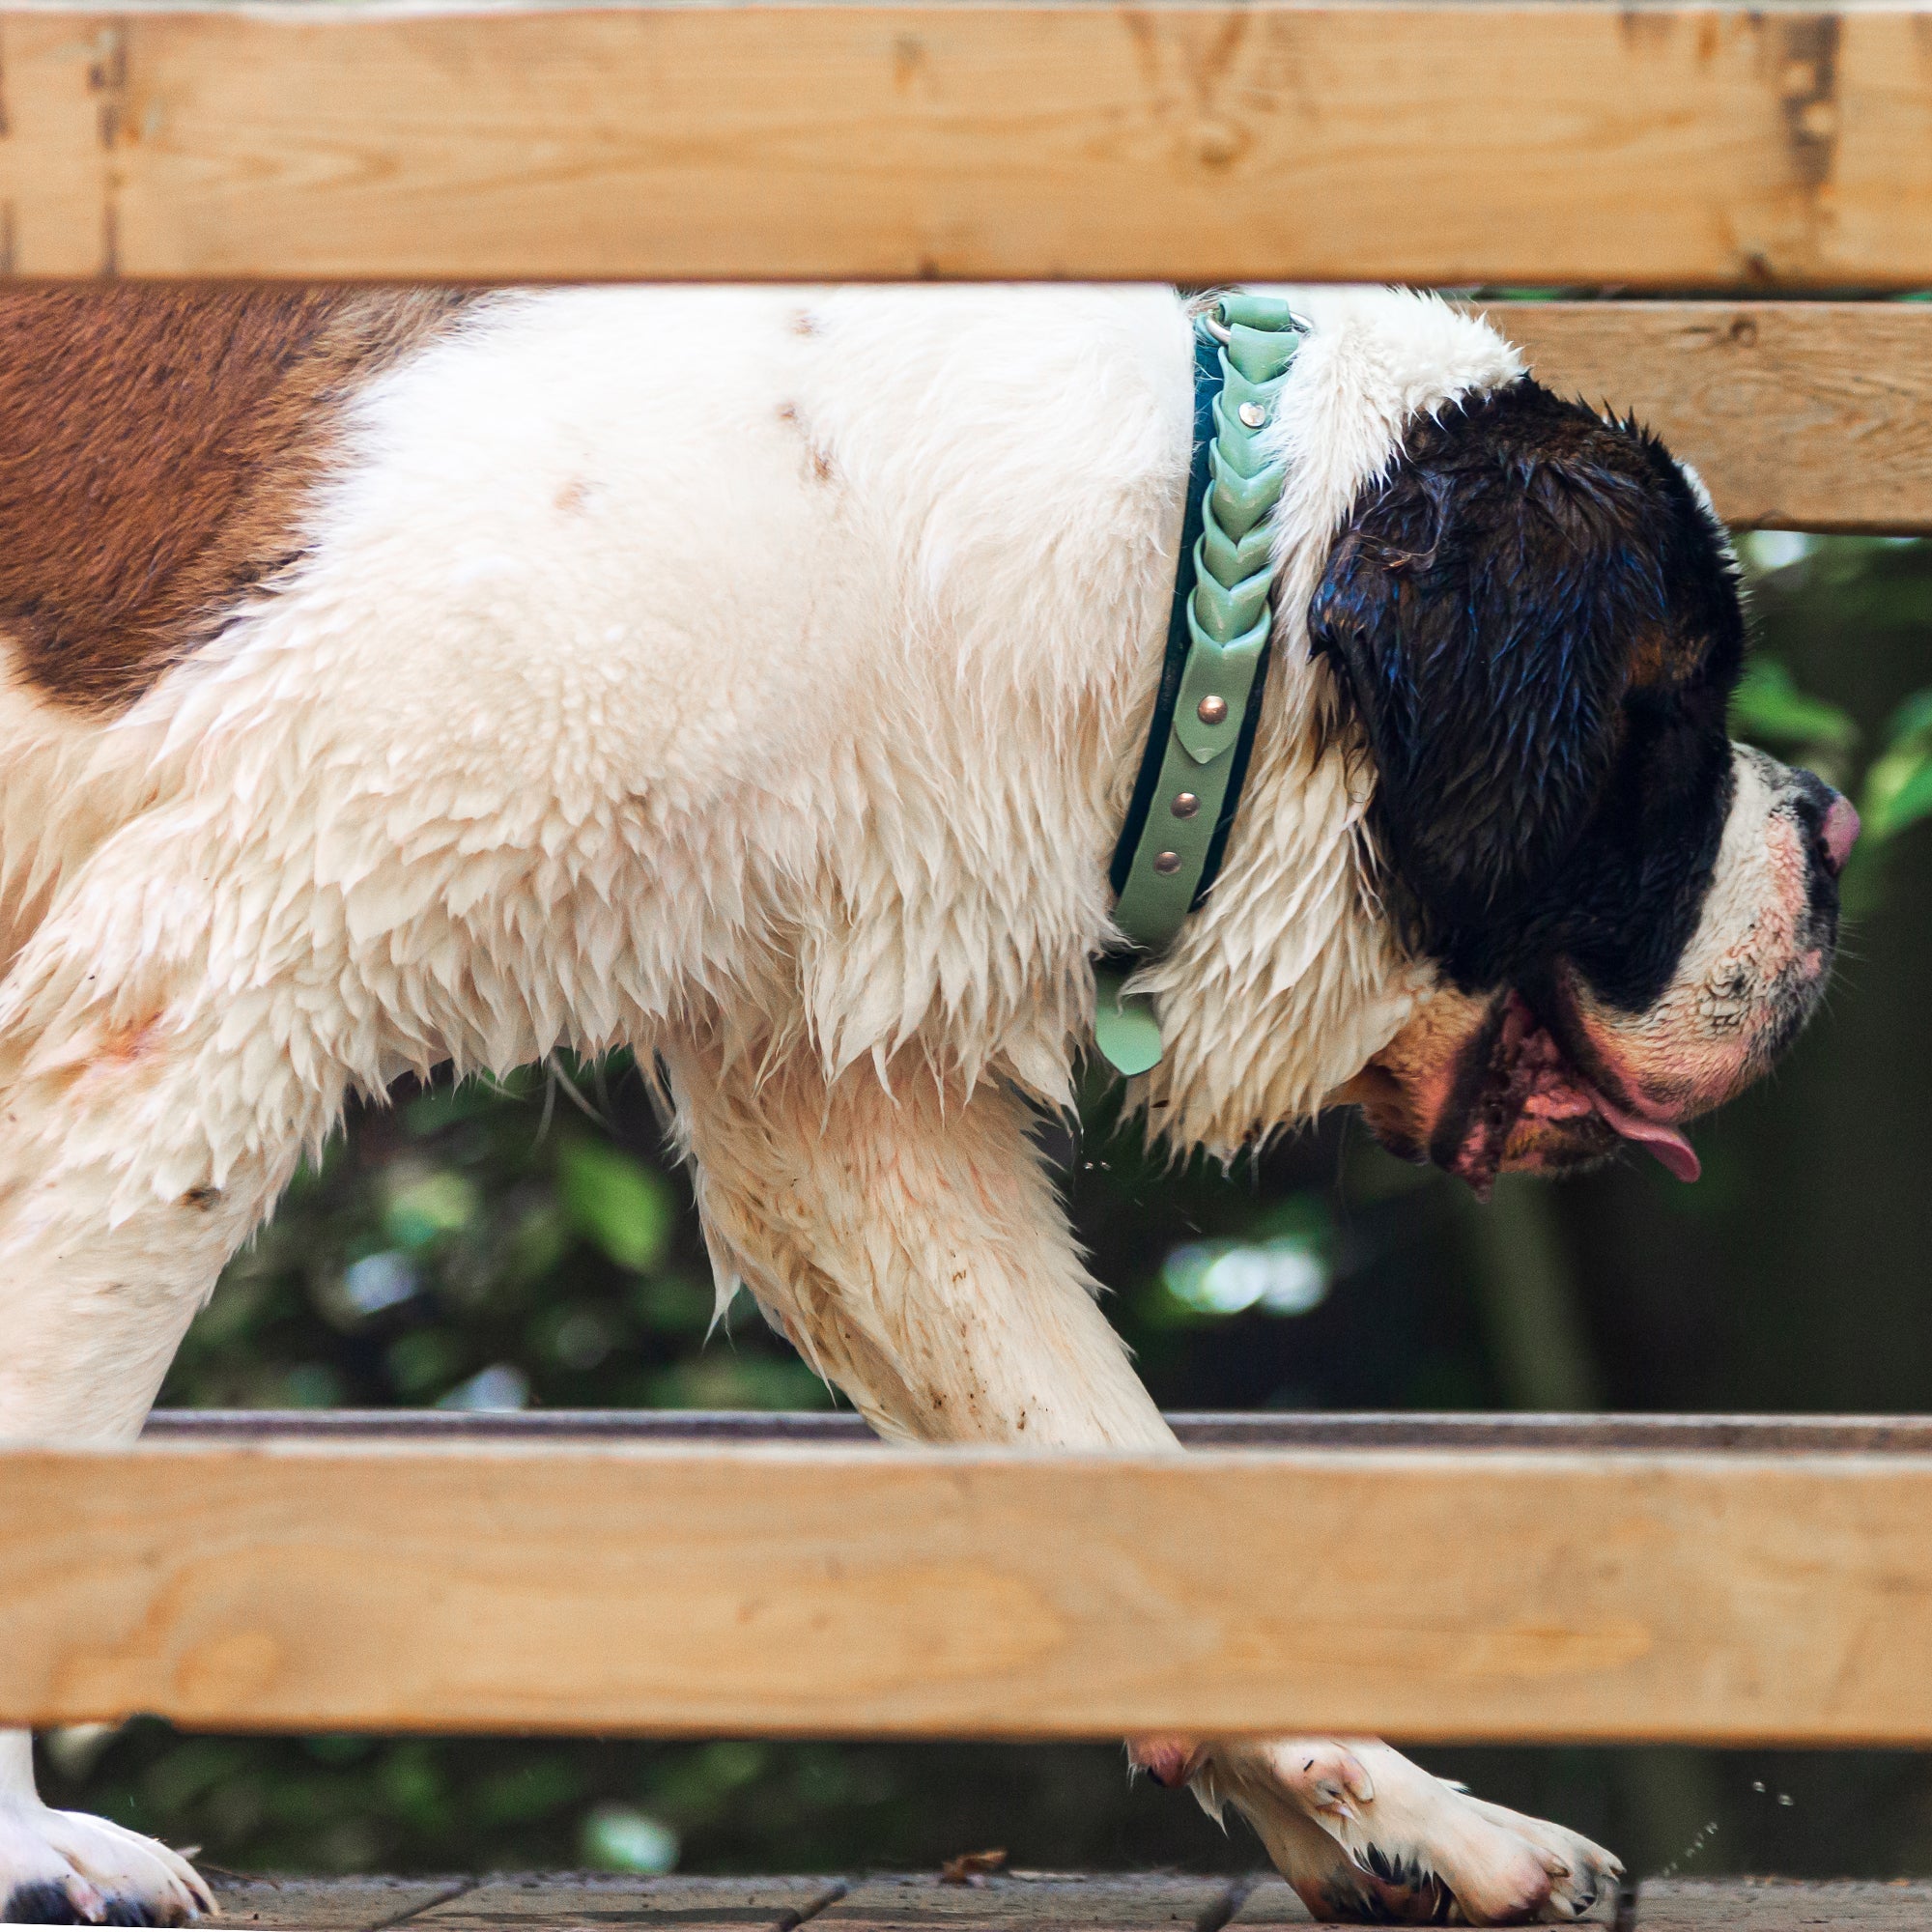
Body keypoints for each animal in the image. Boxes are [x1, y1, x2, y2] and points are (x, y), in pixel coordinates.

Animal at [0, 280, 1847, 1924]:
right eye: (1679, 718)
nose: (1830, 825)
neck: (1188, 577)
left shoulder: (839, 1099)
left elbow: (1110, 1454)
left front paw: (1412, 1821)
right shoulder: (210, 983)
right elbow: (54, 1435)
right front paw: (31, 1854)